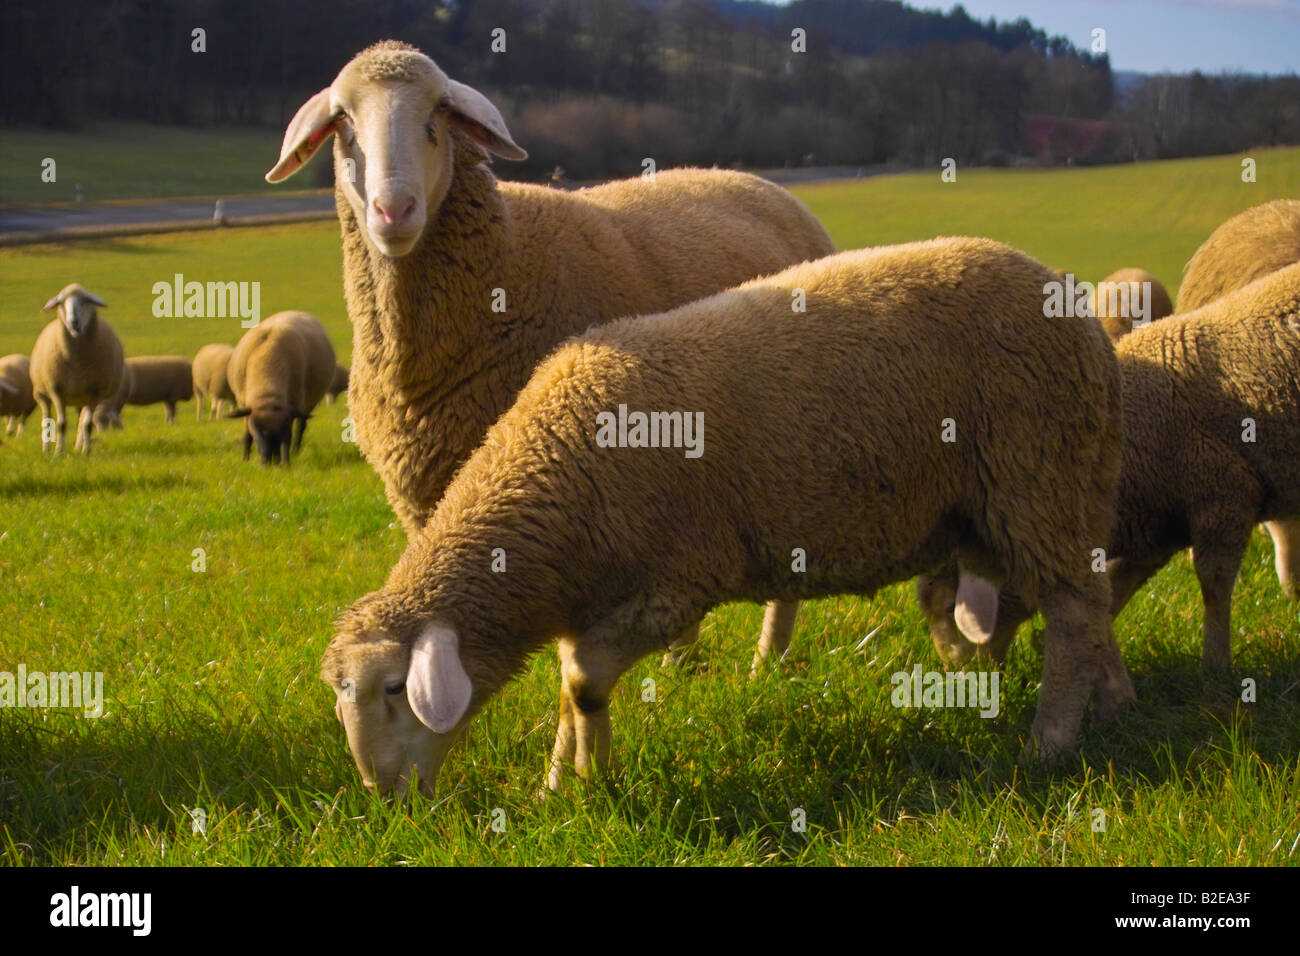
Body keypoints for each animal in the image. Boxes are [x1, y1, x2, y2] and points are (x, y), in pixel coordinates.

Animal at [30, 284, 125, 455]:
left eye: (86, 300)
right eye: (61, 302)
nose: (73, 322)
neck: (77, 364)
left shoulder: (95, 392)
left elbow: (87, 425)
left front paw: (86, 451)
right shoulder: (56, 390)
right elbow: (61, 424)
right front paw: (58, 452)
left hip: (82, 398)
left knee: (81, 422)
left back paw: (78, 447)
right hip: (42, 394)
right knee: (46, 420)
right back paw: (46, 450)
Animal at [227, 311, 336, 464]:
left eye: (283, 430)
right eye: (258, 430)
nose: (270, 462)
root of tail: (297, 312)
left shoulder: (294, 403)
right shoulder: (243, 403)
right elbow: (246, 434)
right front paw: (245, 459)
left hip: (308, 403)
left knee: (301, 426)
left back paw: (295, 450)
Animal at [266, 40, 834, 674]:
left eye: (439, 113)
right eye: (343, 119)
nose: (394, 210)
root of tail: (764, 185)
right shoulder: (426, 495)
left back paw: (767, 661)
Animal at [321, 237, 1136, 798]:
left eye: (393, 691)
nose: (385, 799)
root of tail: (1079, 318)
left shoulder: (674, 583)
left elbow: (582, 681)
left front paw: (591, 781)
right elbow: (566, 690)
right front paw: (562, 784)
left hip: (1037, 475)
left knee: (1074, 609)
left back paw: (1051, 742)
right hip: (1023, 498)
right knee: (1087, 604)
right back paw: (1104, 702)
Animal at [922, 262, 1300, 671]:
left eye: (950, 607)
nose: (961, 675)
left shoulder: (1225, 496)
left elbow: (1214, 586)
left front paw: (1215, 663)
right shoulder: (1156, 529)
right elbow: (1118, 584)